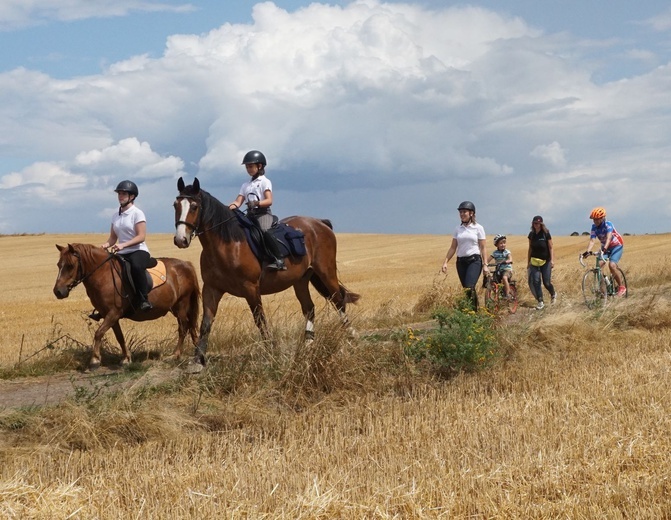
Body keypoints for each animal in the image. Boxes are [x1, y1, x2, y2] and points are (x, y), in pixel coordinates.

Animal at [53, 244, 201, 370]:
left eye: (70, 266)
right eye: (59, 265)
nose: (58, 292)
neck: (103, 274)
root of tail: (186, 264)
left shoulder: (113, 312)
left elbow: (98, 333)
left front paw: (94, 360)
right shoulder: (110, 315)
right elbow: (119, 336)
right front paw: (126, 359)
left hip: (181, 305)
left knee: (183, 328)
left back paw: (175, 354)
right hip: (179, 307)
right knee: (190, 325)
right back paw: (197, 350)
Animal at [176, 177, 360, 368]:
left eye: (194, 206)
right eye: (176, 205)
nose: (180, 240)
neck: (227, 245)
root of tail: (320, 223)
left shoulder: (250, 288)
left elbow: (260, 320)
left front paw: (270, 350)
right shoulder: (212, 289)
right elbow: (206, 323)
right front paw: (198, 359)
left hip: (326, 272)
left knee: (338, 300)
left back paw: (351, 335)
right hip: (301, 280)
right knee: (309, 308)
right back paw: (308, 344)